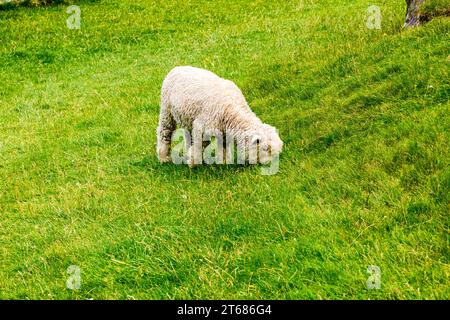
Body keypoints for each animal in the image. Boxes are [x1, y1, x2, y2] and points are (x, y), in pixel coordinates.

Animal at [156, 66, 284, 169]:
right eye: (265, 149)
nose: (268, 164)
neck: (231, 111)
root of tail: (177, 67)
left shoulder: (224, 131)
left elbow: (223, 147)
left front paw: (224, 162)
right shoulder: (202, 127)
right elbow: (198, 146)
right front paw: (193, 163)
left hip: (187, 118)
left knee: (188, 136)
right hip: (166, 110)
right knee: (164, 132)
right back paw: (163, 157)